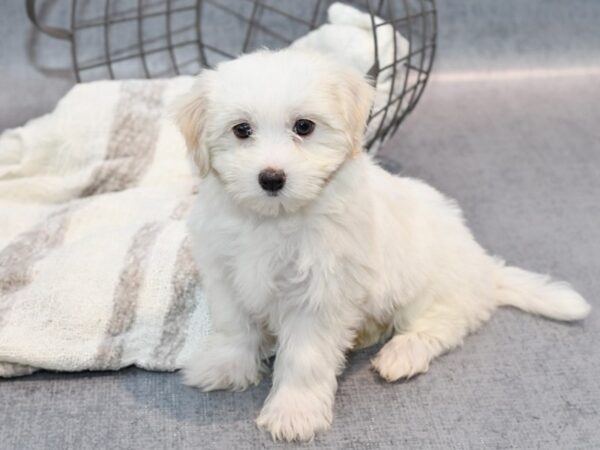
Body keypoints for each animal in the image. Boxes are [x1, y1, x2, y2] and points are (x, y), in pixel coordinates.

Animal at [173, 48, 592, 440]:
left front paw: (294, 410)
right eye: (241, 130)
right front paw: (227, 367)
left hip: (433, 289)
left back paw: (403, 353)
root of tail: (485, 269)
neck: (275, 218)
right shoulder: (224, 272)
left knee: (441, 324)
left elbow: (305, 357)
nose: (271, 178)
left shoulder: (319, 294)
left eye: (304, 127)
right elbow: (234, 325)